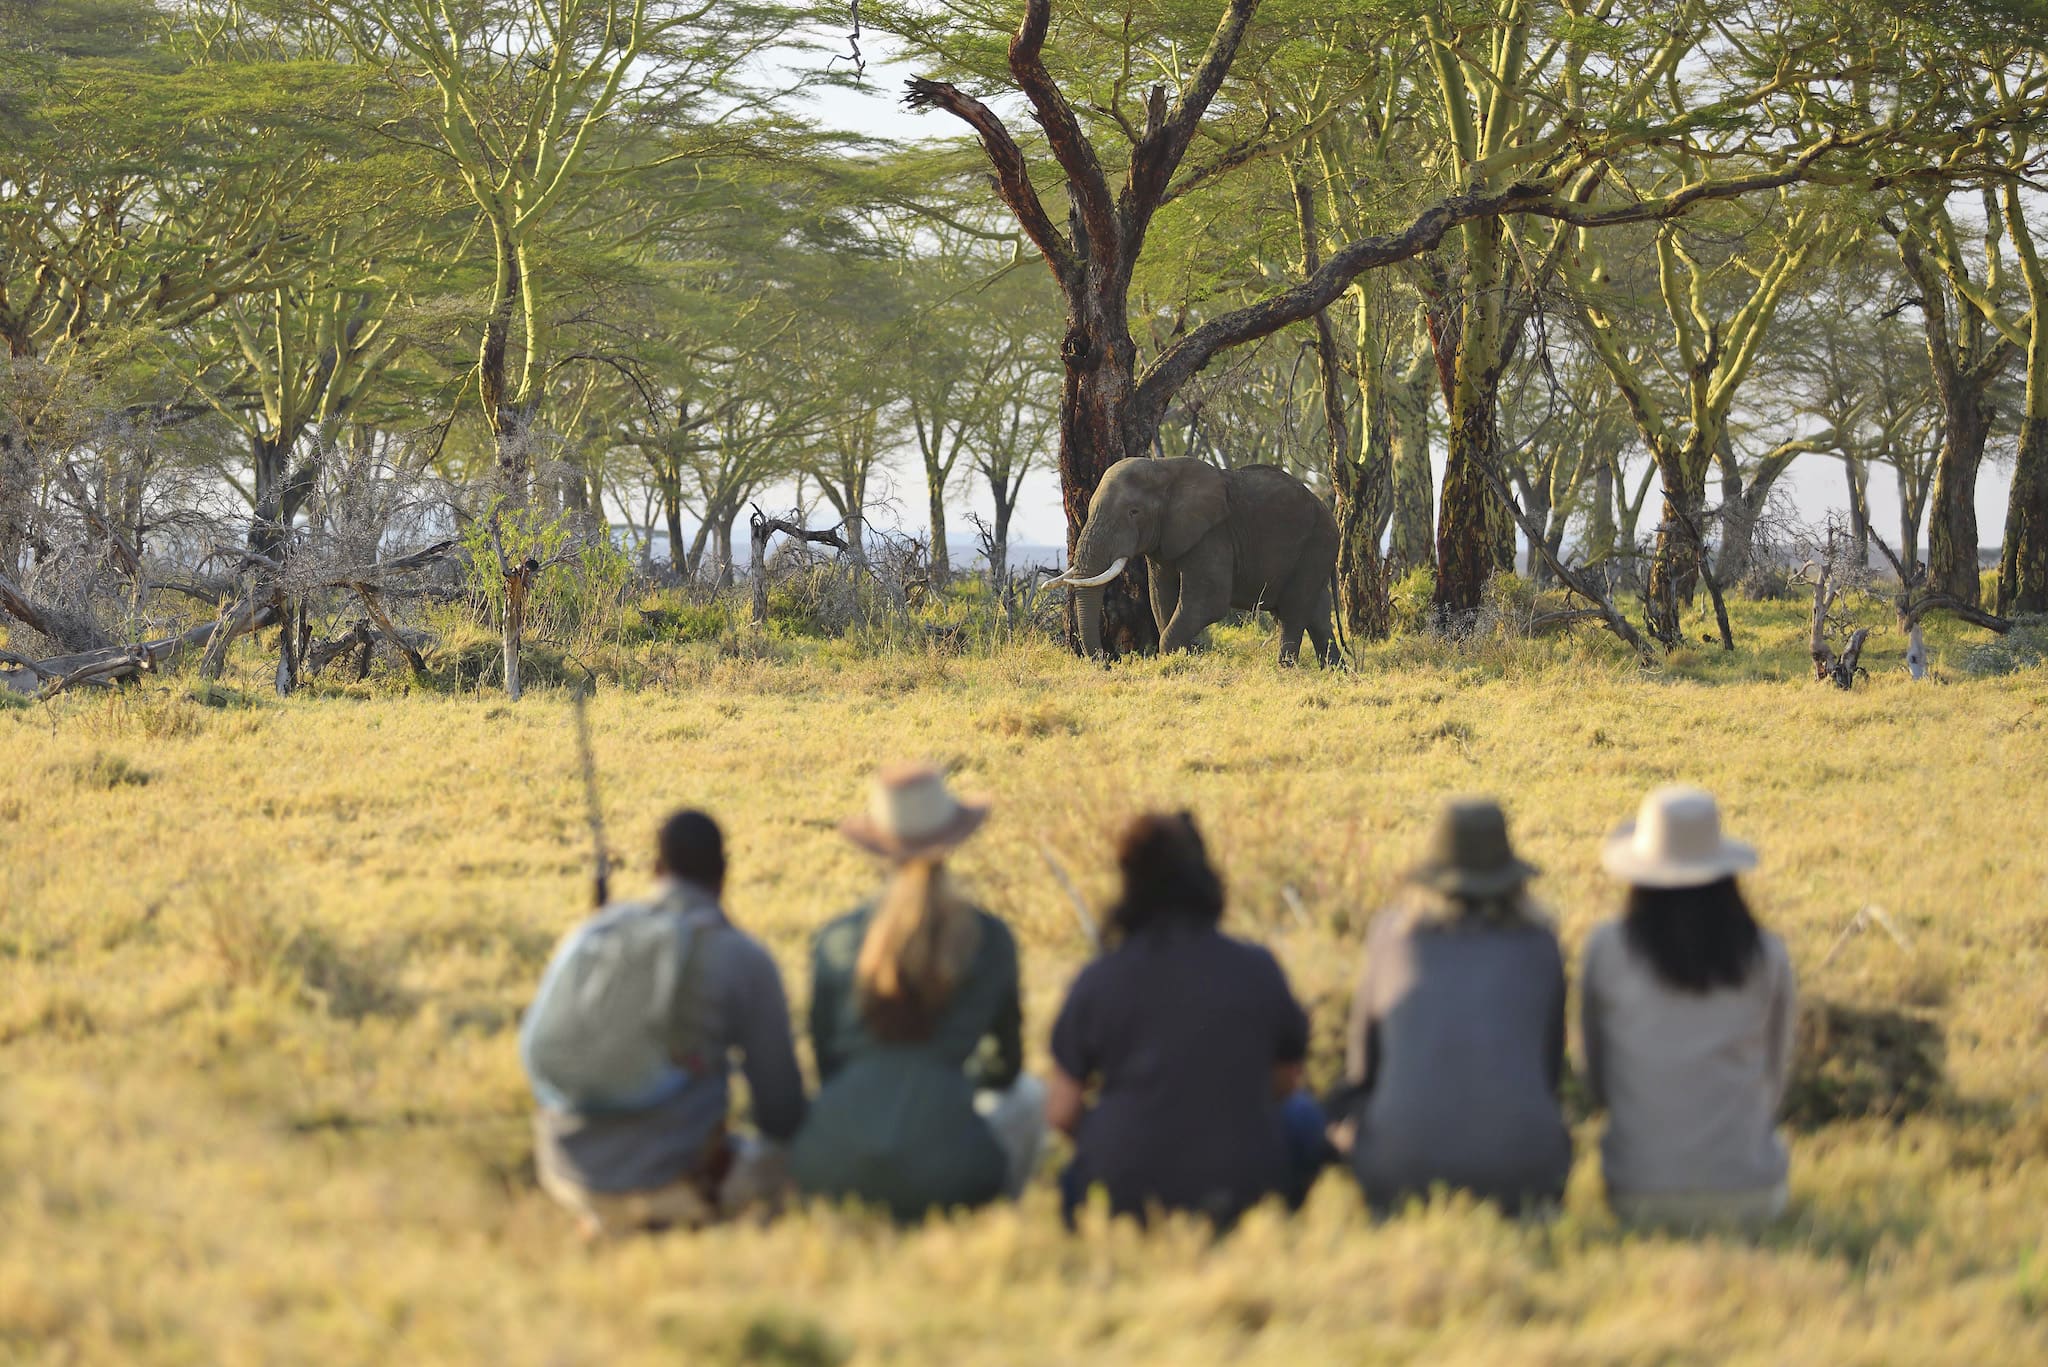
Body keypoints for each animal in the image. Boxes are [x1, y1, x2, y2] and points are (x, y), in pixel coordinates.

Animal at [1043, 456, 1342, 666]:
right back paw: (1335, 671)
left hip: (1317, 544)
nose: (1106, 662)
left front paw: (1175, 660)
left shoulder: (1213, 534)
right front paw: (1182, 660)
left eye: (1134, 512)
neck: (1163, 468)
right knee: (1316, 613)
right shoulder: (1164, 542)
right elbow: (1161, 600)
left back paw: (1285, 669)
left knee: (1293, 612)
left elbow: (1208, 602)